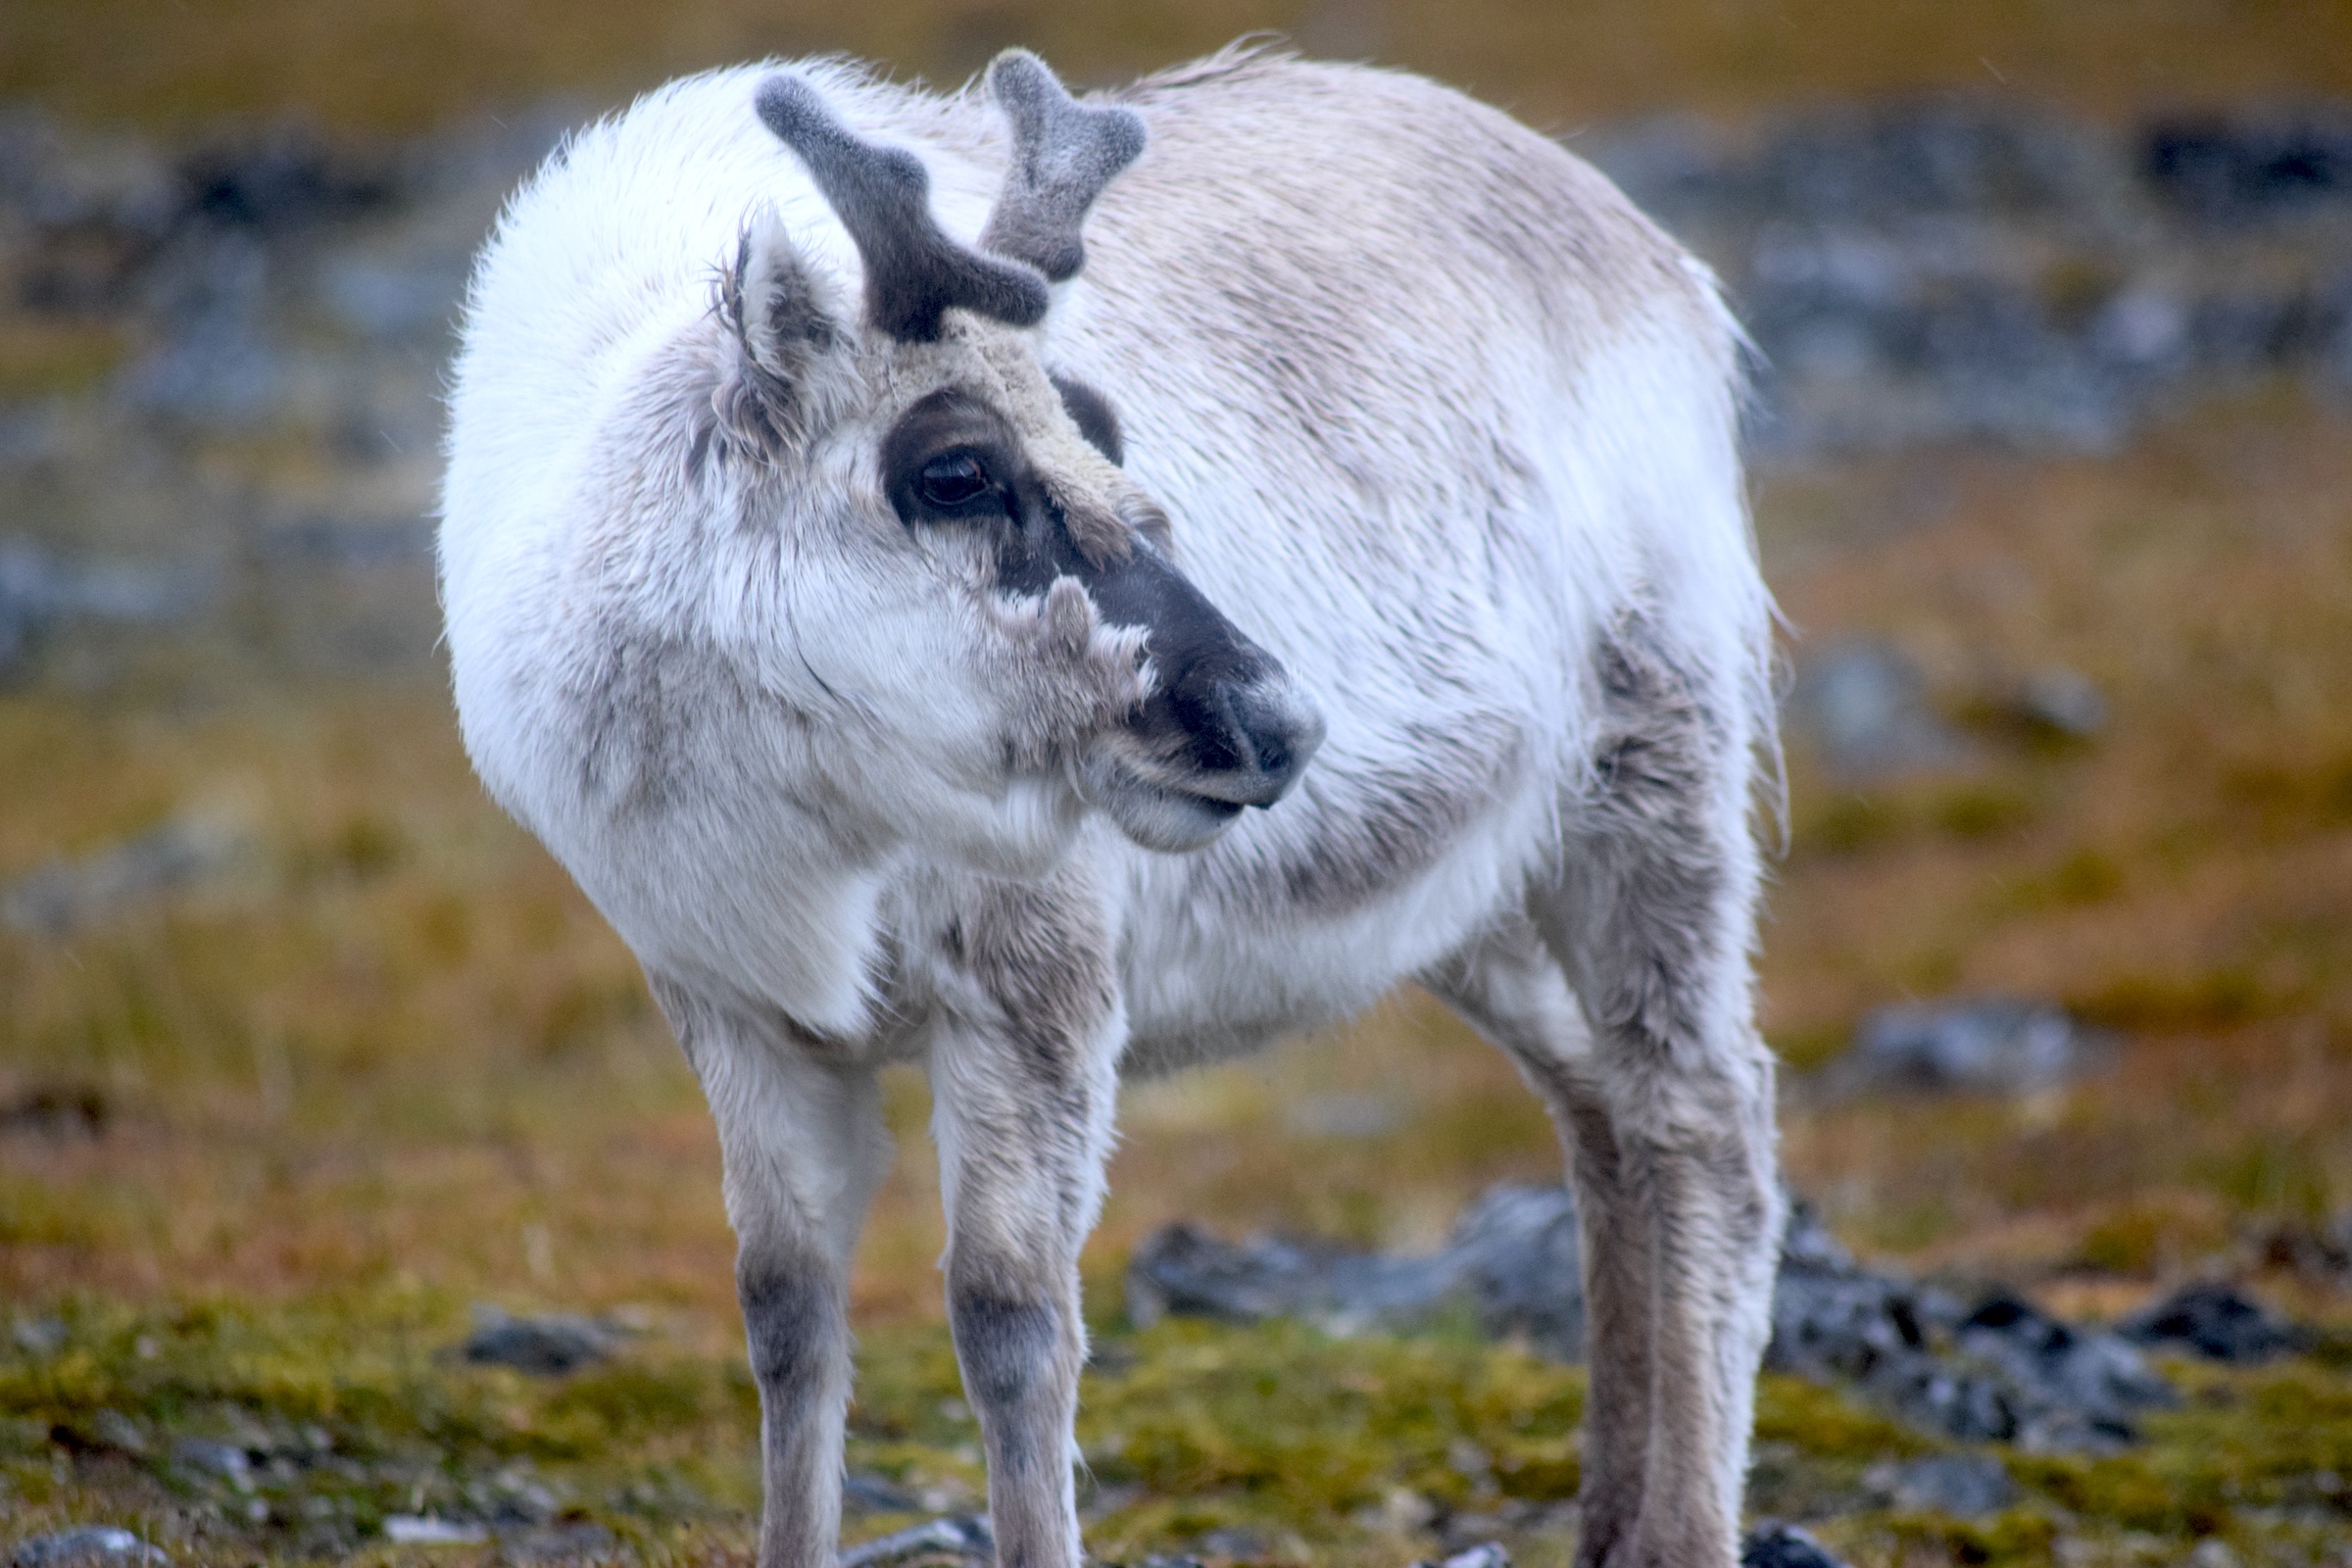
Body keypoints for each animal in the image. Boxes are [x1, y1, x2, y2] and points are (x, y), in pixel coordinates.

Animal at [440, 41, 1782, 1568]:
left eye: (1097, 424)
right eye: (955, 469)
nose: (1277, 721)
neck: (805, 823)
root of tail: (1659, 258)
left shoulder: (1039, 984)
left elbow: (1011, 1318)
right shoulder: (728, 999)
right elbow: (783, 1307)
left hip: (1657, 768)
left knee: (1703, 1114)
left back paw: (1686, 1523)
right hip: (1473, 897)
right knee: (1596, 1105)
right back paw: (1608, 1520)